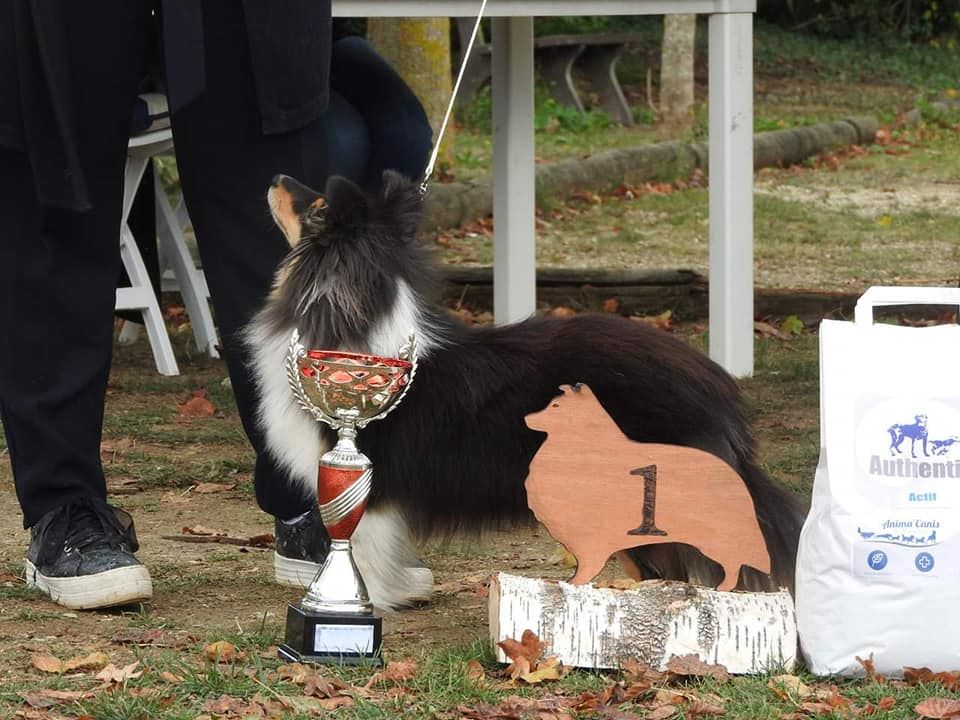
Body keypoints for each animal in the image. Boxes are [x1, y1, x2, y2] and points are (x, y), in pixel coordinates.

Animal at [244, 170, 808, 608]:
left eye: (317, 207)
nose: (275, 177)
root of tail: (717, 390)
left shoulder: (371, 484)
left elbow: (359, 545)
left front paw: (361, 604)